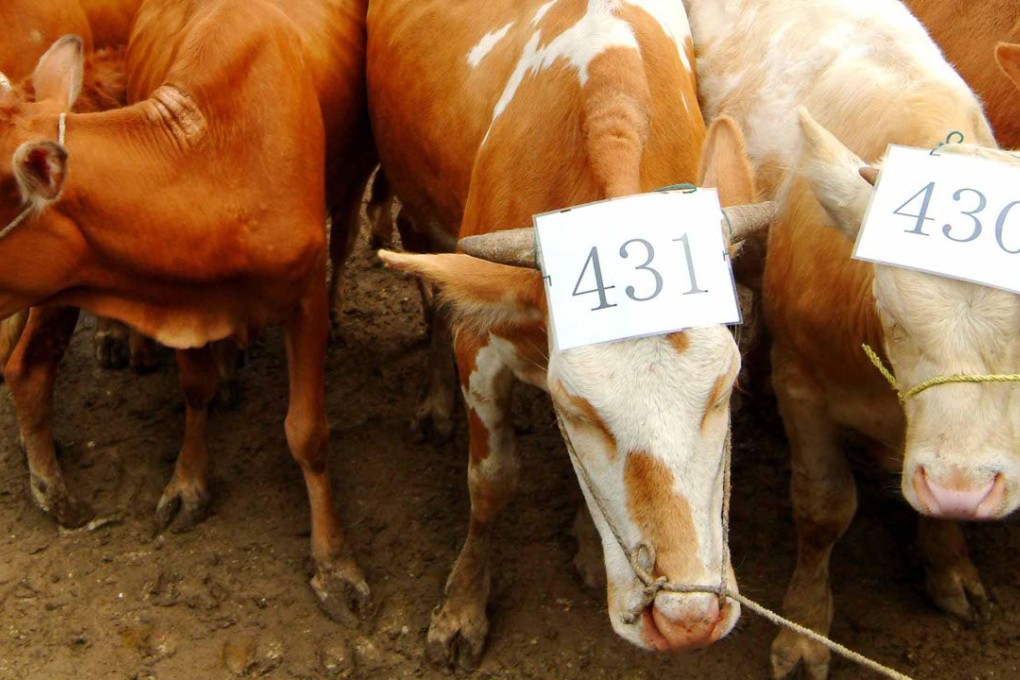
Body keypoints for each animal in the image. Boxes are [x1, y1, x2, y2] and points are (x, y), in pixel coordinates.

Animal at [0, 0, 374, 623]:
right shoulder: (182, 302)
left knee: (345, 235)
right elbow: (193, 392)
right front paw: (187, 483)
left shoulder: (304, 298)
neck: (215, 158)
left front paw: (335, 563)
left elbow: (308, 433)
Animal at [368, 0, 774, 667]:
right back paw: (434, 402)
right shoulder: (481, 347)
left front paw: (587, 543)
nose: (685, 619)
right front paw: (462, 606)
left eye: (727, 390)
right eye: (576, 407)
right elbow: (491, 482)